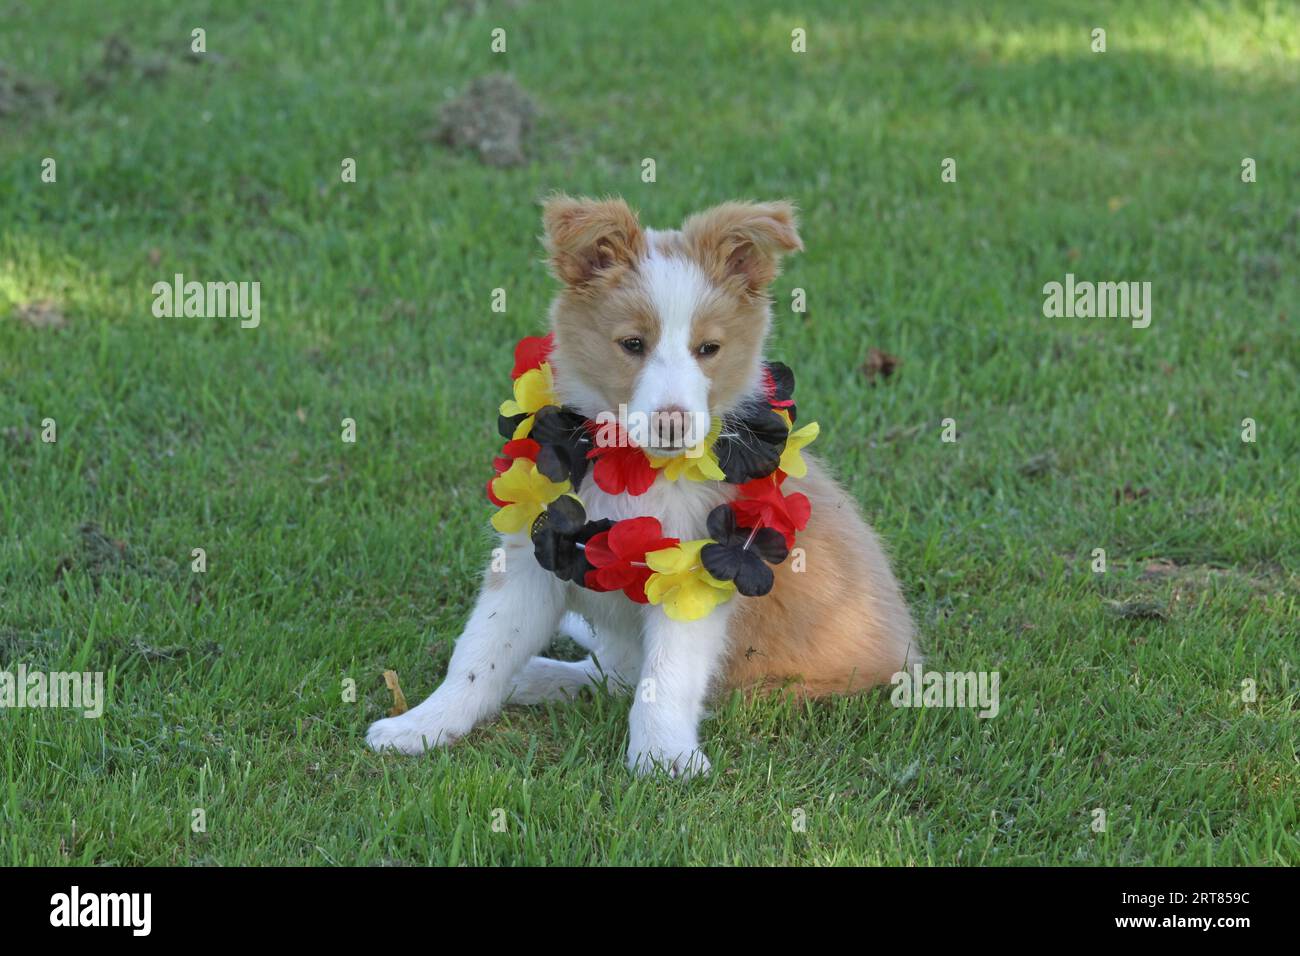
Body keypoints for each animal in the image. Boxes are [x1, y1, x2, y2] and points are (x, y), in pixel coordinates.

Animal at [364, 195, 915, 780]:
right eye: (632, 344)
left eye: (708, 348)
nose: (673, 424)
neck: (636, 467)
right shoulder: (533, 554)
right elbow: (480, 652)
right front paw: (422, 725)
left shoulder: (694, 573)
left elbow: (666, 677)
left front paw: (662, 757)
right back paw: (535, 676)